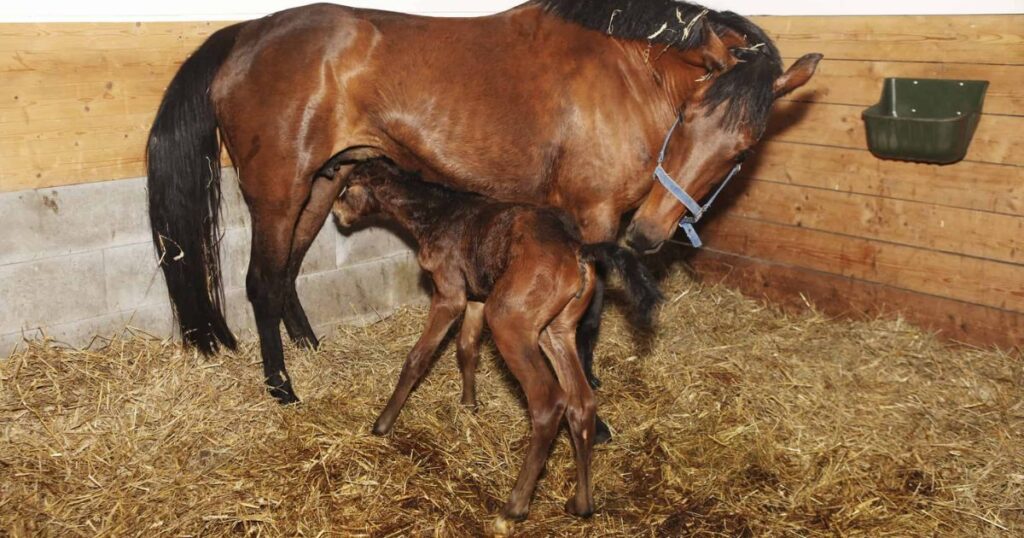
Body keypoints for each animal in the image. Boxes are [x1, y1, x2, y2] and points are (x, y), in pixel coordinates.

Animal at [331, 158, 659, 524]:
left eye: (347, 187)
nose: (336, 213)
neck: (437, 212)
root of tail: (578, 250)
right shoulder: (477, 299)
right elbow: (466, 349)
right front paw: (469, 406)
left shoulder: (449, 294)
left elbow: (418, 357)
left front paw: (383, 423)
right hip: (555, 329)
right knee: (582, 402)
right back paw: (581, 504)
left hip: (508, 321)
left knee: (549, 402)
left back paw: (514, 507)